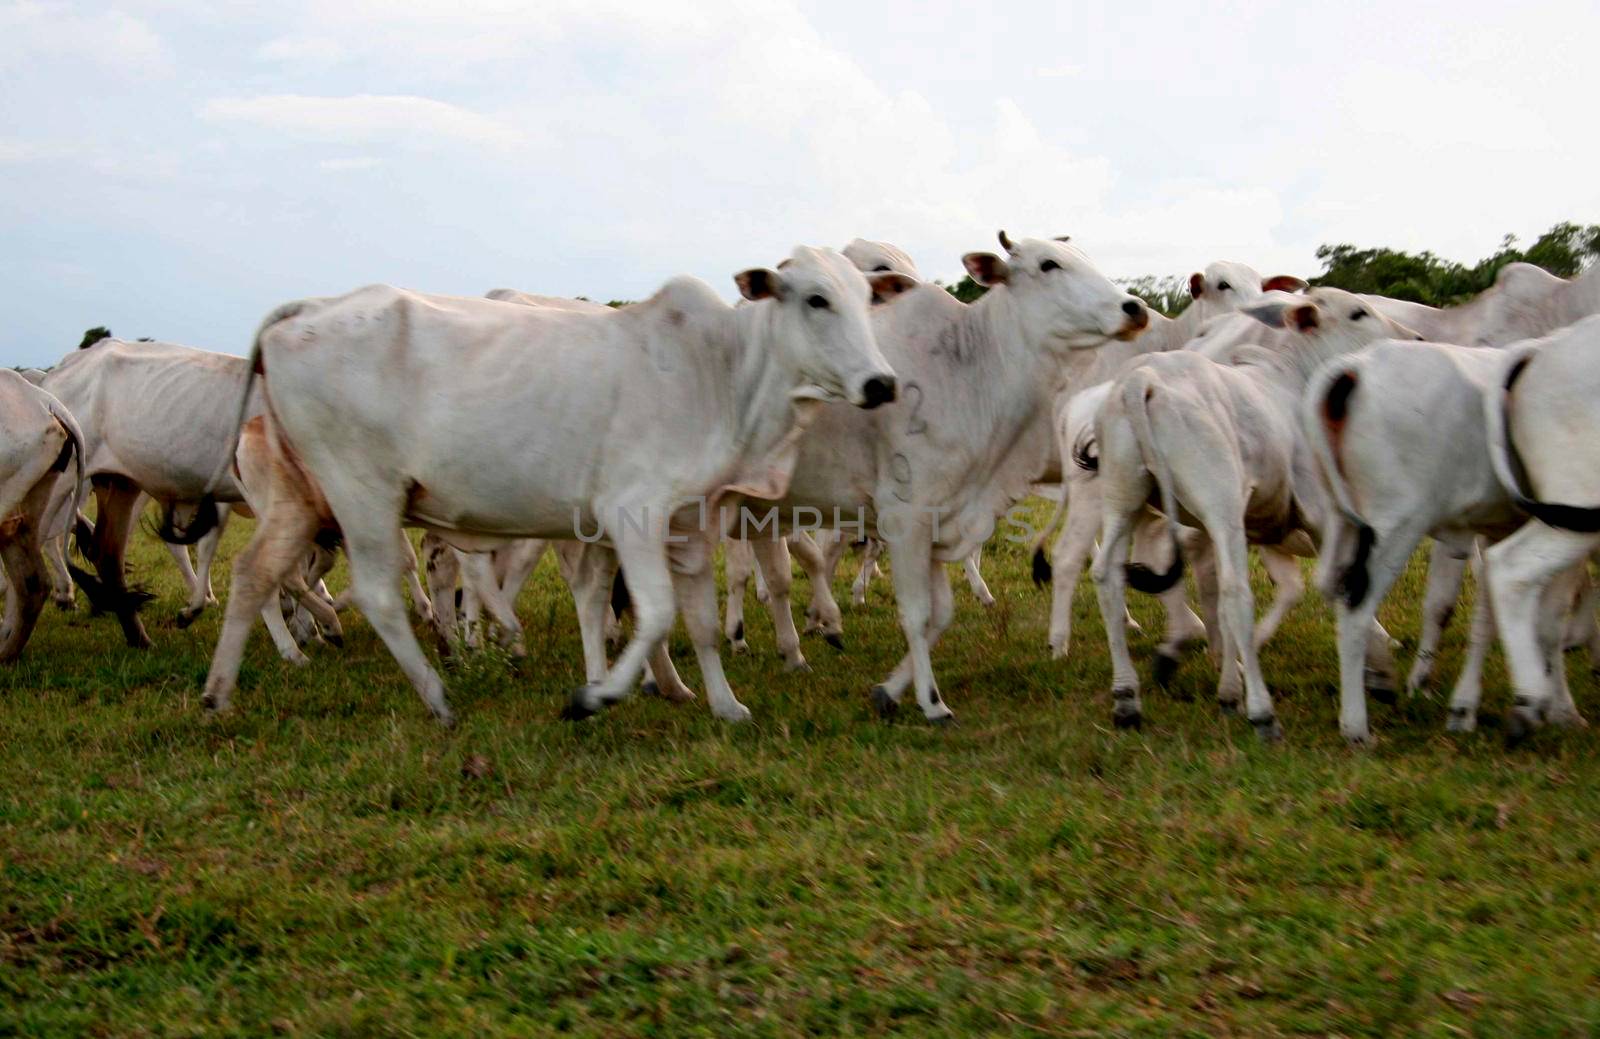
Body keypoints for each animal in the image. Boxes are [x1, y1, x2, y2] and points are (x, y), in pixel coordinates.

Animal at [1094, 288, 1420, 733]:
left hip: (1125, 500)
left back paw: (1127, 698)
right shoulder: (1321, 517)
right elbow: (1343, 585)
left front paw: (1228, 689)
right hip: (1221, 504)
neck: (1294, 379)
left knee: (1108, 578)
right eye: (1358, 312)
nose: (1416, 339)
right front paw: (1381, 674)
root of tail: (1141, 380)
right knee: (1237, 593)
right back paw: (1263, 712)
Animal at [1478, 312, 1600, 742]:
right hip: (1577, 510)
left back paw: (1561, 711)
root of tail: (1542, 347)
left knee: (1547, 614)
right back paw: (1530, 701)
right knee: (1510, 568)